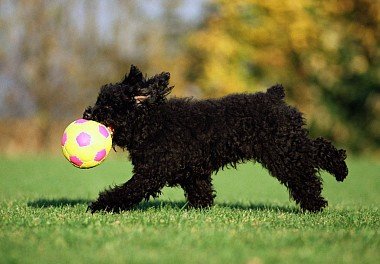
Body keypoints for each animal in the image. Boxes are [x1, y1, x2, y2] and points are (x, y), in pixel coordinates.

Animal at [82, 65, 348, 213]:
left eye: (107, 106)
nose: (87, 114)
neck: (152, 123)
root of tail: (274, 97)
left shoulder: (151, 173)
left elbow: (127, 190)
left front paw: (100, 205)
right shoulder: (193, 172)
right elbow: (201, 193)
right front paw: (201, 210)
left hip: (282, 152)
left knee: (307, 171)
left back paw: (318, 200)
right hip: (288, 145)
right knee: (317, 149)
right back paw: (339, 171)